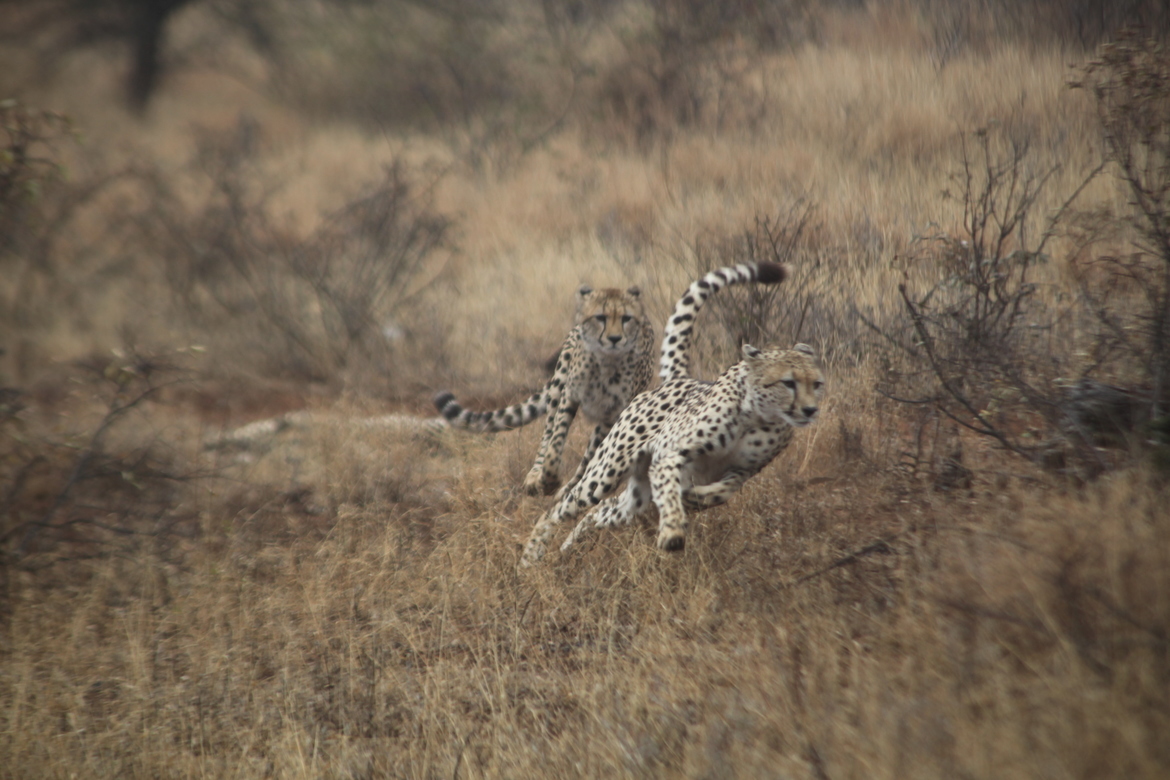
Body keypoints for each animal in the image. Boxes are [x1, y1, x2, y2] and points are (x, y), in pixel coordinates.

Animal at [435, 284, 655, 498]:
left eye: (626, 318)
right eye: (601, 317)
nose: (615, 338)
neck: (606, 362)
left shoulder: (611, 415)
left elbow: (590, 458)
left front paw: (564, 488)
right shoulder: (570, 395)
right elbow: (555, 442)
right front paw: (548, 480)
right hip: (559, 381)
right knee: (548, 432)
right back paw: (535, 476)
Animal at [520, 260, 824, 566]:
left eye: (817, 384)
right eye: (788, 383)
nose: (810, 409)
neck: (758, 417)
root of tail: (677, 379)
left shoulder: (743, 471)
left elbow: (721, 492)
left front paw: (694, 498)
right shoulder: (668, 455)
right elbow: (669, 494)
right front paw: (672, 532)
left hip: (635, 499)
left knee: (603, 510)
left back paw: (569, 546)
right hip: (605, 472)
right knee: (561, 507)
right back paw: (532, 554)